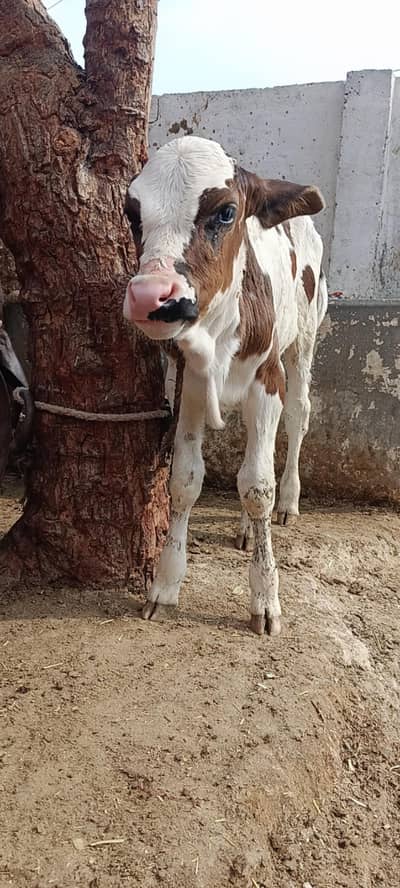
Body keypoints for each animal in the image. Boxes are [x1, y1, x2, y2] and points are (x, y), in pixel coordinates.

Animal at [123, 136, 327, 636]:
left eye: (226, 212)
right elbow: (185, 479)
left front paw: (266, 598)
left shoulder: (267, 380)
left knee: (297, 418)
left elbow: (257, 486)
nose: (151, 295)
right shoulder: (190, 381)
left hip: (304, 340)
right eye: (132, 214)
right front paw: (165, 585)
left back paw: (288, 501)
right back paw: (246, 528)